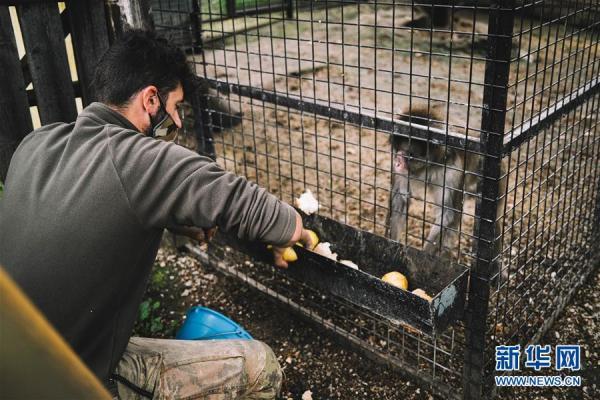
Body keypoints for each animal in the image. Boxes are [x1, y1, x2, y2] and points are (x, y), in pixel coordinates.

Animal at [154, 0, 600, 396]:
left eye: (408, 150)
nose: (399, 160)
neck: (427, 167)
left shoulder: (453, 171)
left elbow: (448, 215)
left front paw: (426, 256)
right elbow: (400, 205)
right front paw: (398, 250)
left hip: (492, 179)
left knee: (480, 224)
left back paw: (490, 266)